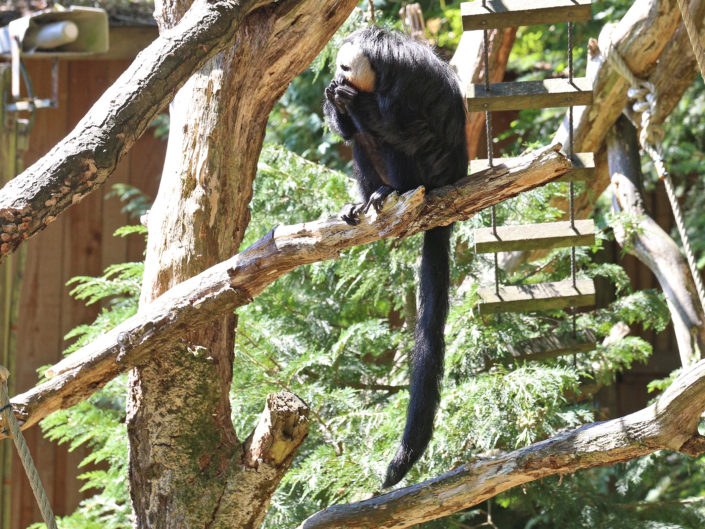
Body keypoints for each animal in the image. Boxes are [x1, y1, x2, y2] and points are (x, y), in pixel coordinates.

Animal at [324, 26, 468, 484]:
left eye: (346, 65)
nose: (338, 76)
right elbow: (349, 134)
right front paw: (334, 100)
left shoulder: (406, 80)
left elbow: (413, 129)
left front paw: (354, 102)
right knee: (362, 141)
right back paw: (368, 198)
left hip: (433, 173)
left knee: (396, 139)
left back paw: (394, 190)